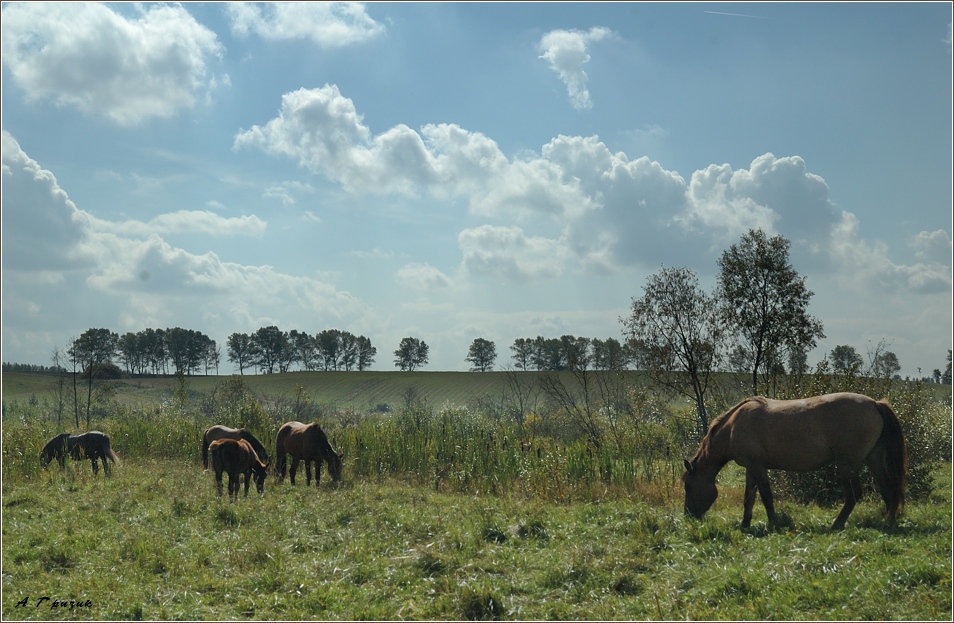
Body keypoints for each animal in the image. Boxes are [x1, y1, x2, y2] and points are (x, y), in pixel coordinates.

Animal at [680, 392, 904, 528]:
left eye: (688, 486)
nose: (688, 516)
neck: (733, 426)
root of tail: (874, 404)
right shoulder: (751, 468)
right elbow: (748, 498)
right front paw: (745, 524)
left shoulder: (758, 467)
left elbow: (766, 496)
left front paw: (773, 523)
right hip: (872, 459)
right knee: (887, 488)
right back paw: (888, 521)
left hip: (847, 464)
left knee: (854, 495)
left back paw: (836, 524)